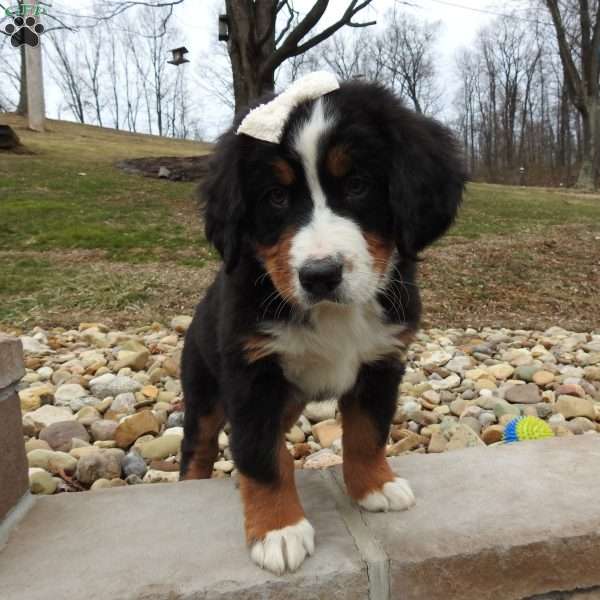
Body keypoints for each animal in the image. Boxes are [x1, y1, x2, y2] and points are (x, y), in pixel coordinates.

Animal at [180, 77, 466, 576]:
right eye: (275, 197)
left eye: (358, 185)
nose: (319, 275)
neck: (336, 316)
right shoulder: (251, 374)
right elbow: (260, 454)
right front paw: (277, 530)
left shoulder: (381, 361)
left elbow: (368, 434)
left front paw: (375, 486)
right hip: (205, 390)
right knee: (198, 446)